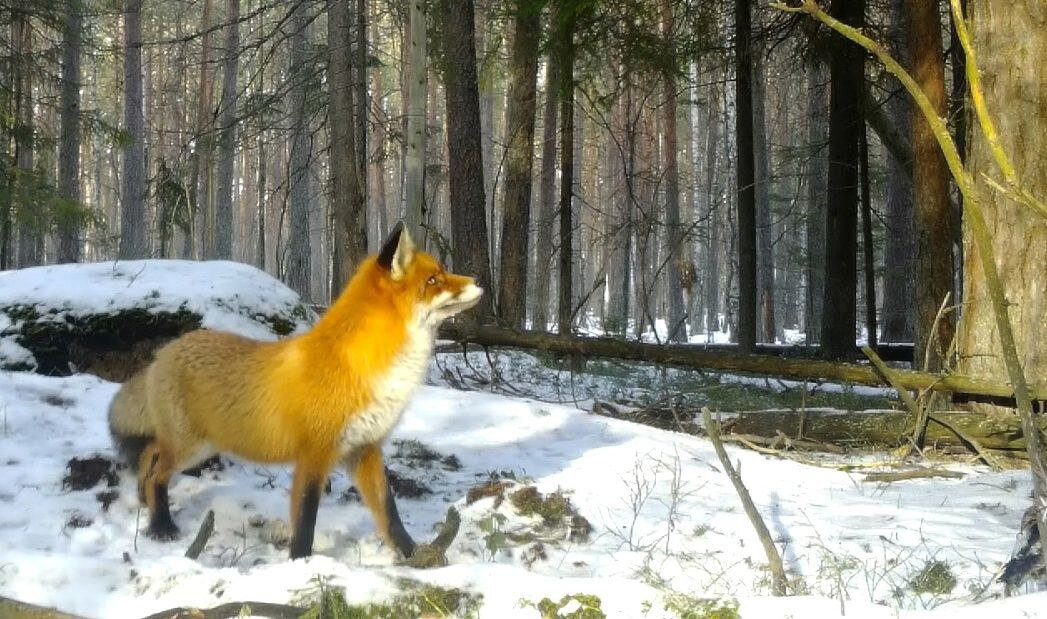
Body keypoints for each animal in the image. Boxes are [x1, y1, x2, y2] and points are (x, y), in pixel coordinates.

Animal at [106, 224, 481, 561]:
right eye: (434, 280)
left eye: (441, 273)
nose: (477, 281)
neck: (361, 366)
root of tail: (164, 352)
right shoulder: (314, 453)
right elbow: (306, 519)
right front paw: (300, 563)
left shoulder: (365, 449)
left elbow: (389, 513)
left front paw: (414, 555)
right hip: (192, 447)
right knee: (157, 470)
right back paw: (160, 525)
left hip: (200, 444)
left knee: (149, 454)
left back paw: (144, 502)